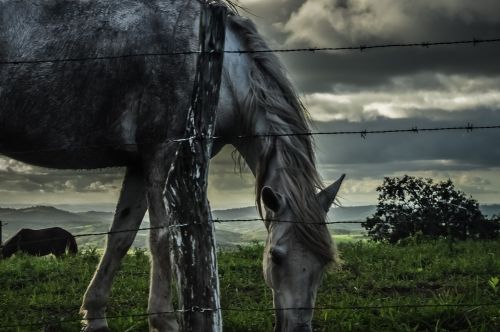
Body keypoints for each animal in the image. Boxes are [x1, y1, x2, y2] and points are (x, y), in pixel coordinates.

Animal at [0, 0, 344, 332]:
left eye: (324, 262)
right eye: (276, 256)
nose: (299, 328)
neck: (221, 72)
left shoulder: (140, 163)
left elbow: (121, 236)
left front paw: (94, 315)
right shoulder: (162, 154)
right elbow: (162, 238)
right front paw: (163, 320)